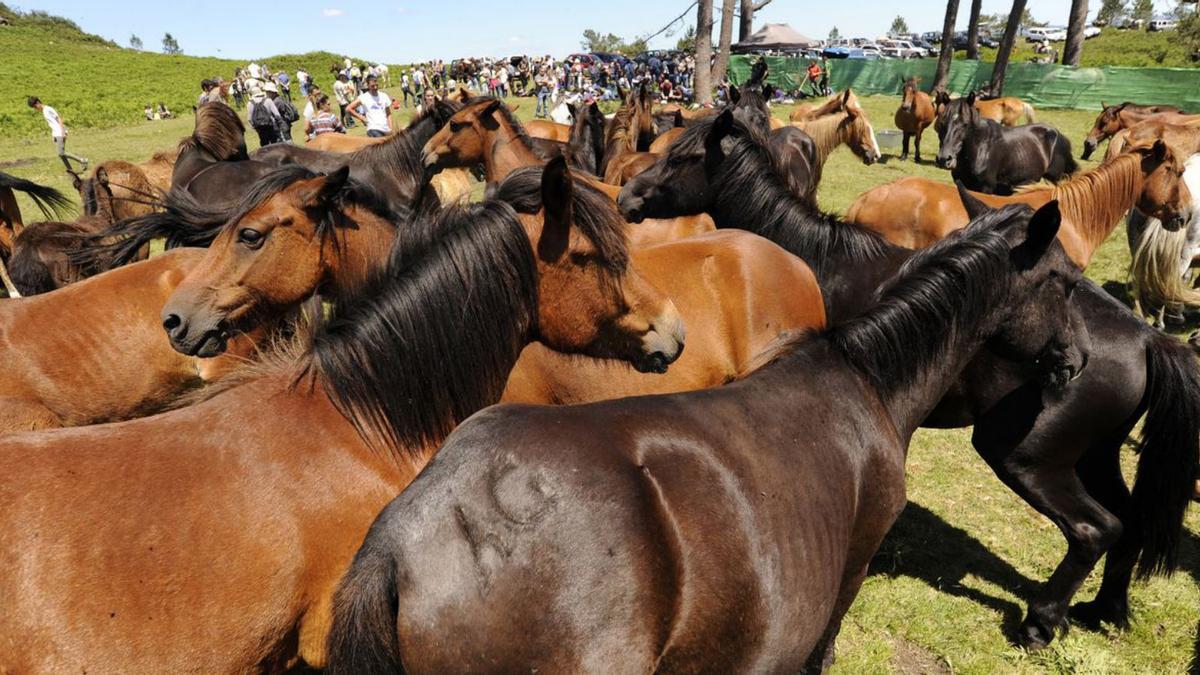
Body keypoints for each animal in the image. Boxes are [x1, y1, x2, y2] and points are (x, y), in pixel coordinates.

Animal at [936, 91, 1080, 194]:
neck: (980, 149)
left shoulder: (986, 188)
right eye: (942, 123)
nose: (944, 159)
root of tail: (1059, 135)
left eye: (965, 124)